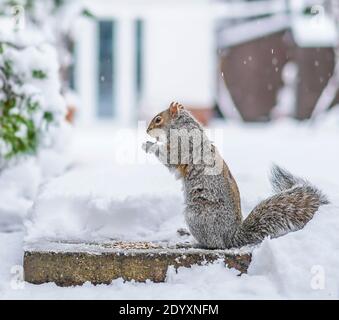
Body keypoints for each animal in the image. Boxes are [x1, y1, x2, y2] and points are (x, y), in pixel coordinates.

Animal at [143, 101, 330, 249]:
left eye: (158, 119)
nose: (146, 130)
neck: (182, 125)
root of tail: (230, 238)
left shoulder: (181, 146)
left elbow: (169, 157)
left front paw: (148, 145)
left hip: (197, 216)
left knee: (213, 244)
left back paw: (193, 243)